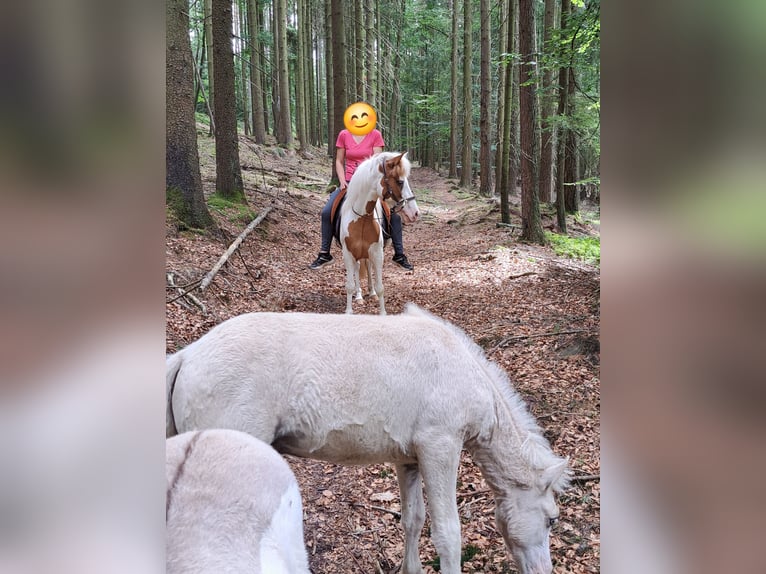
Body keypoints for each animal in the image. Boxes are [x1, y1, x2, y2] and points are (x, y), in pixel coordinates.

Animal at [338, 151, 420, 314]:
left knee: (368, 268)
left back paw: (371, 293)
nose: (415, 213)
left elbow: (380, 287)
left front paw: (382, 312)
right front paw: (349, 311)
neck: (362, 218)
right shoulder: (348, 254)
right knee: (357, 269)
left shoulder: (377, 254)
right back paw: (359, 296)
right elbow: (349, 285)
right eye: (400, 182)